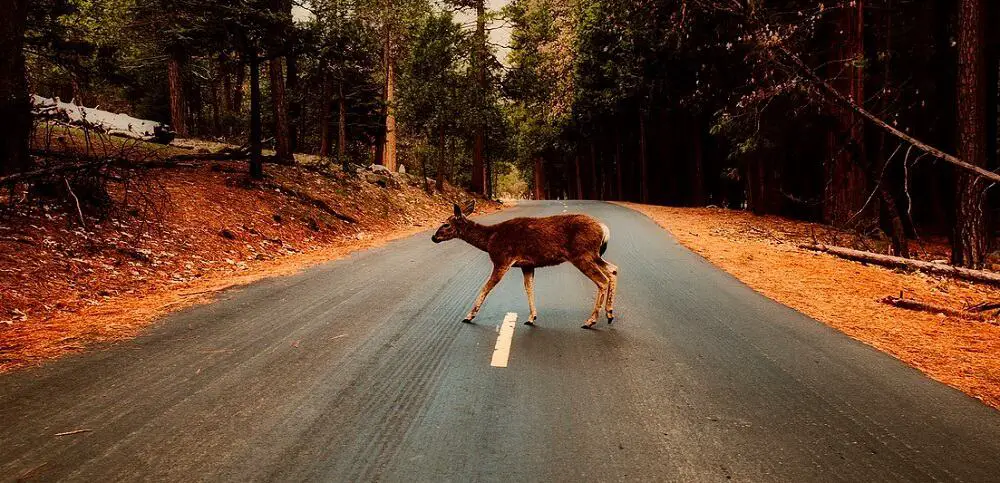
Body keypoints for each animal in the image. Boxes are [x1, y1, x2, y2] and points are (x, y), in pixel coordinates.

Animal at [432, 200, 616, 328]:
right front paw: (531, 317)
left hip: (582, 254)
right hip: (593, 254)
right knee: (613, 269)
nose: (434, 237)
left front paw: (469, 316)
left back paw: (590, 321)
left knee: (602, 280)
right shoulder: (527, 265)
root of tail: (604, 229)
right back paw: (609, 314)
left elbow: (486, 287)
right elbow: (529, 288)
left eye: (446, 224)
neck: (490, 240)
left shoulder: (502, 259)